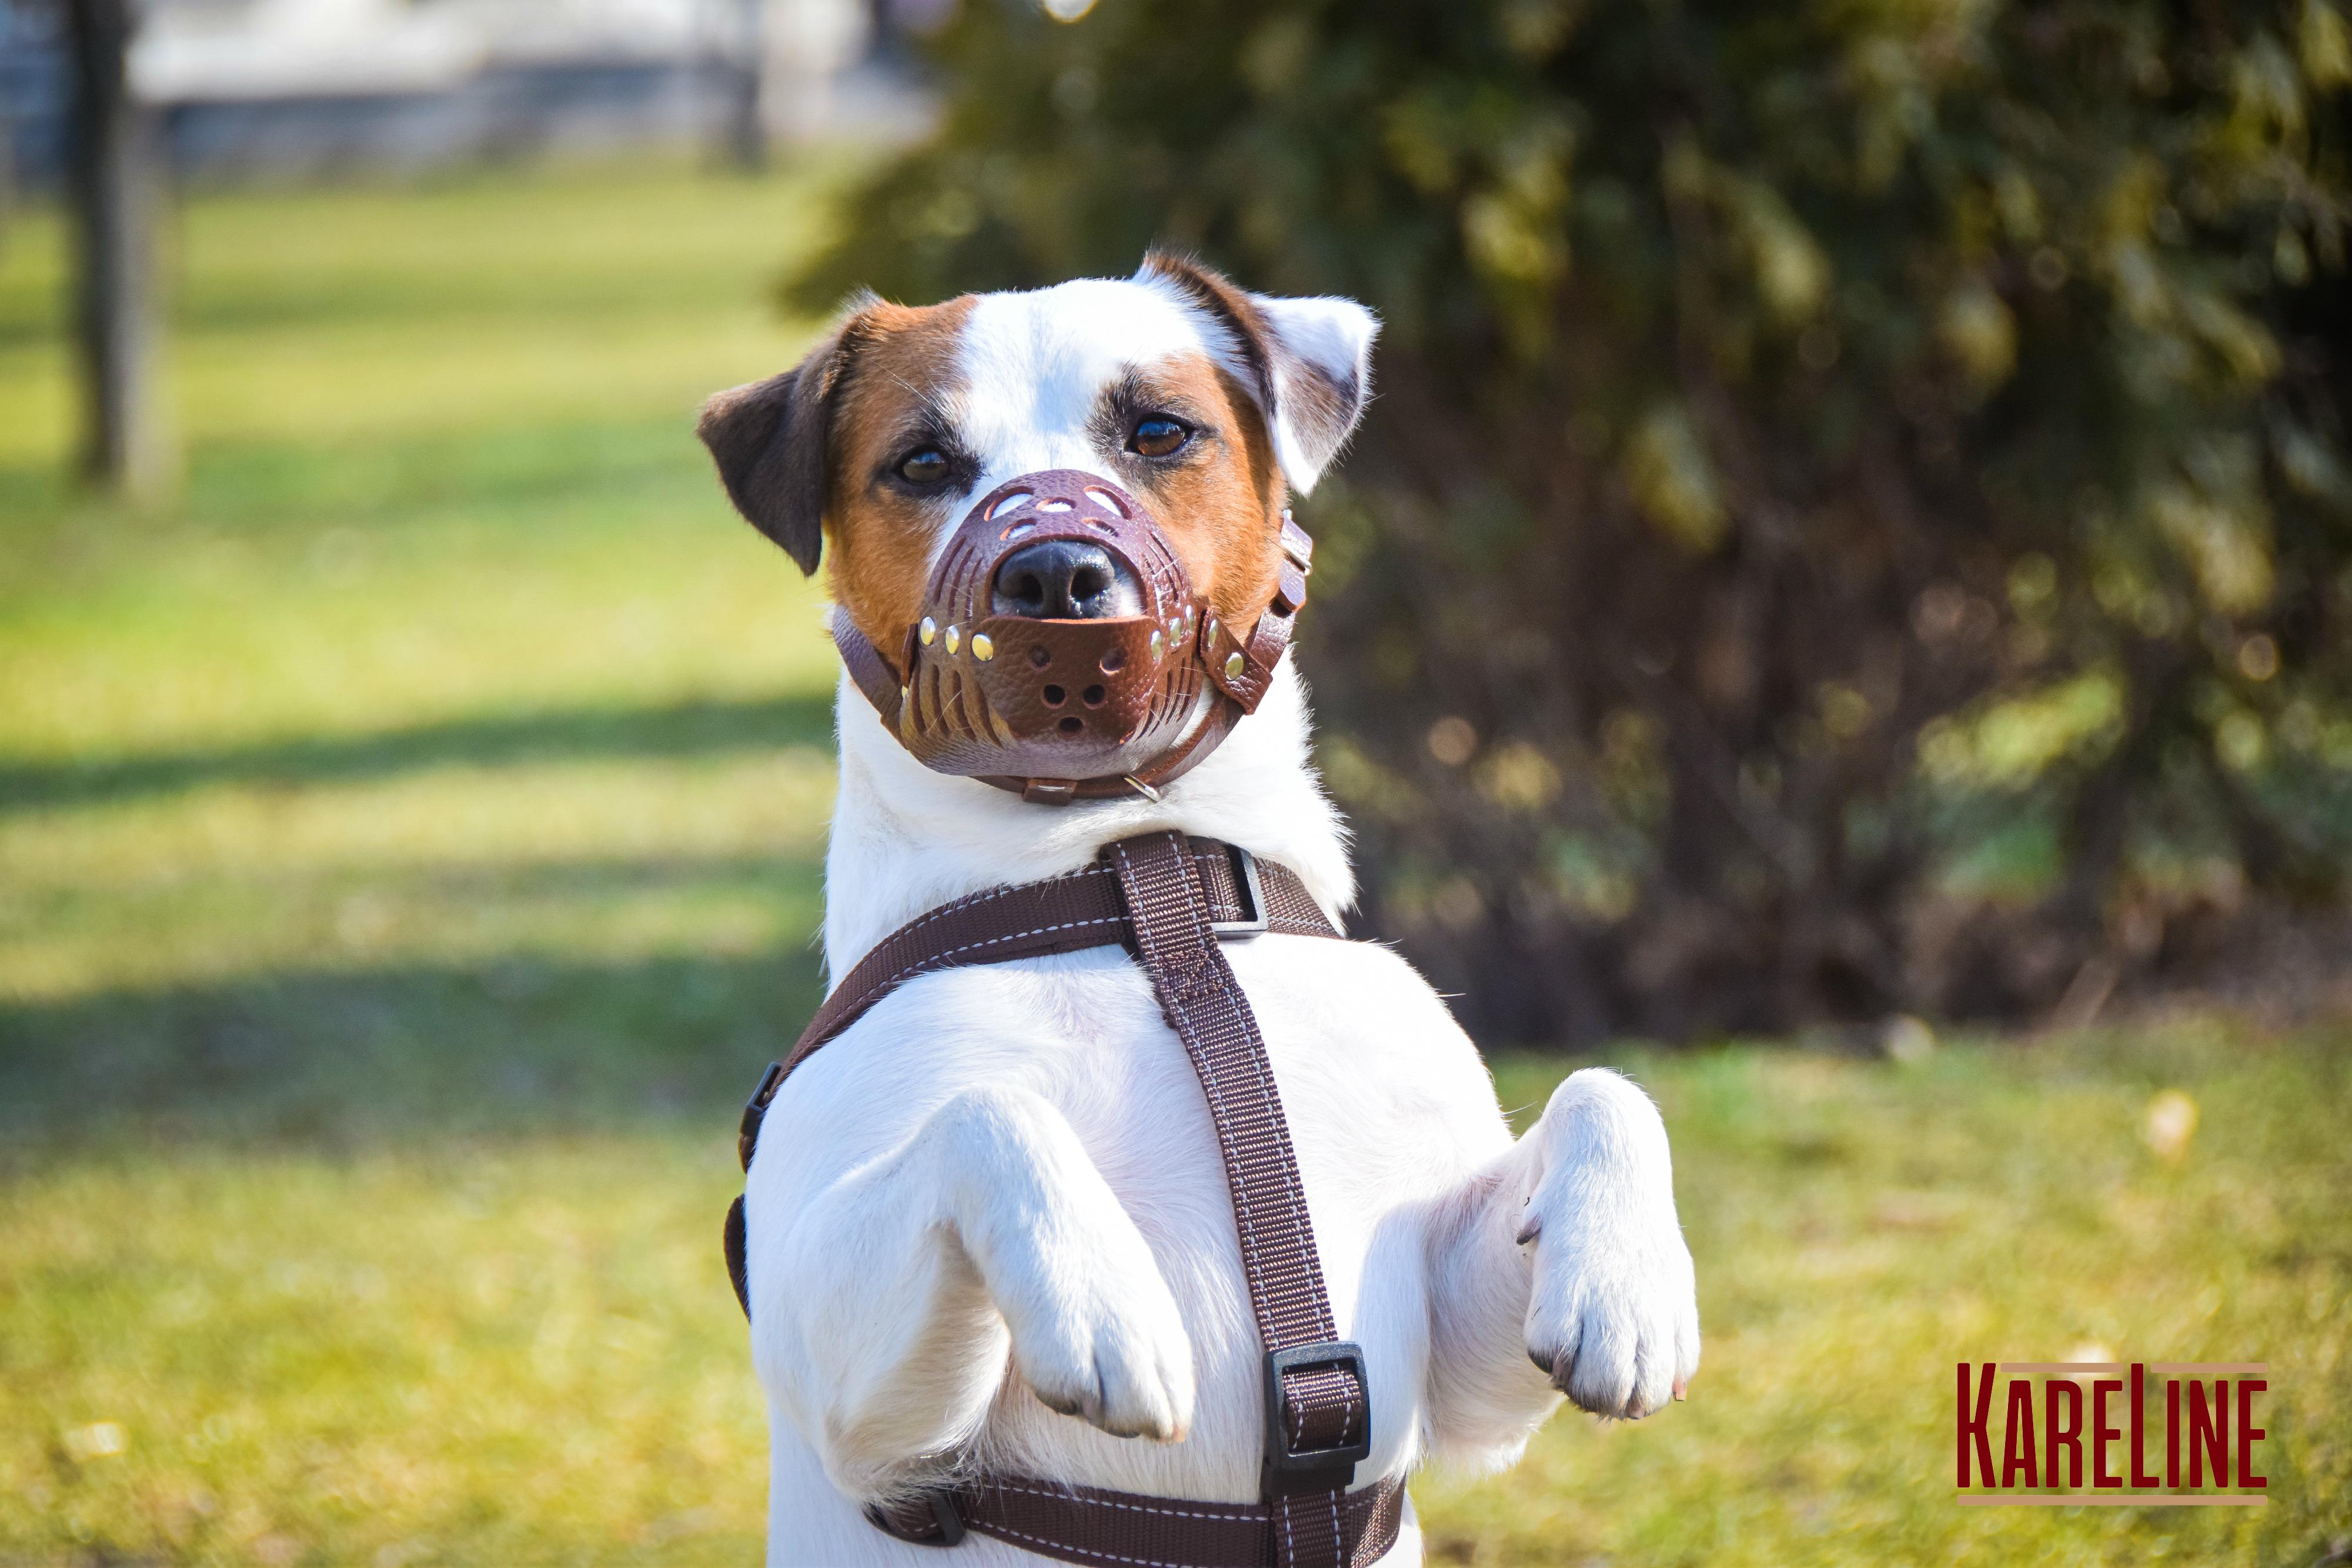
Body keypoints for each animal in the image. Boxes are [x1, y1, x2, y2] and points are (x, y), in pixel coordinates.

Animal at [687, 251, 1703, 1561]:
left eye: (1160, 431)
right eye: (920, 464)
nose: (1056, 574)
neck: (1139, 885)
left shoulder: (1458, 1363)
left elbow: (1605, 1086)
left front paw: (1626, 1284)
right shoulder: (848, 1394)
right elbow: (988, 1112)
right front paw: (1102, 1298)